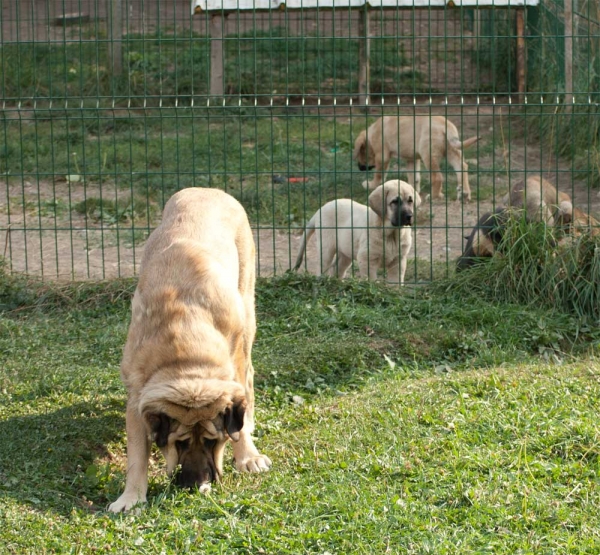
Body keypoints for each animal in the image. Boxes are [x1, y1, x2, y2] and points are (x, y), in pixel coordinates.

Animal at [110, 189, 272, 516]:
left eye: (212, 441)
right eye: (180, 443)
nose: (196, 484)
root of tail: (208, 189)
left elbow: (240, 416)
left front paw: (246, 455)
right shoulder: (137, 395)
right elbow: (137, 454)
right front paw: (131, 497)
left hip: (248, 309)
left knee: (249, 375)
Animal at [292, 181, 420, 286]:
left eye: (410, 201)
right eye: (395, 202)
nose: (409, 216)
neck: (392, 234)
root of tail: (320, 209)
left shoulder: (398, 261)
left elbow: (395, 282)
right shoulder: (367, 259)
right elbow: (371, 280)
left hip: (345, 253)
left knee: (337, 269)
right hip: (326, 249)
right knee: (322, 269)